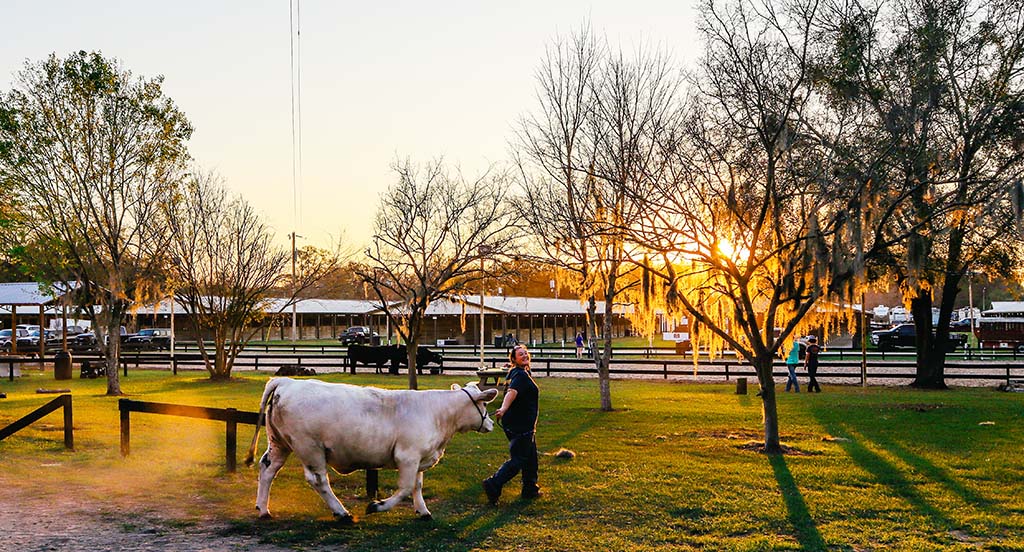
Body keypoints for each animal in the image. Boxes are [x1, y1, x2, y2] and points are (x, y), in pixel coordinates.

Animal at [240, 378, 495, 524]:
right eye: (483, 404)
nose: (492, 423)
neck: (438, 414)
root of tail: (287, 381)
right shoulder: (407, 456)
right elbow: (405, 488)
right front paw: (376, 506)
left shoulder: (420, 457)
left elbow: (417, 486)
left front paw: (423, 511)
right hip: (310, 447)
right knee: (318, 480)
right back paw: (341, 513)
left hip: (279, 443)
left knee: (268, 468)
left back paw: (263, 509)